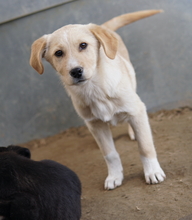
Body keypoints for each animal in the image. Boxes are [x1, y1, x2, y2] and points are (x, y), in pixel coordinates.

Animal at [29, 9, 165, 189]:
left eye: (83, 45)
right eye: (58, 53)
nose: (76, 71)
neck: (94, 89)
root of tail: (103, 26)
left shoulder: (136, 110)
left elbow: (145, 146)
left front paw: (152, 172)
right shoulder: (94, 124)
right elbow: (109, 154)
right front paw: (114, 176)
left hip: (134, 90)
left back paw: (133, 132)